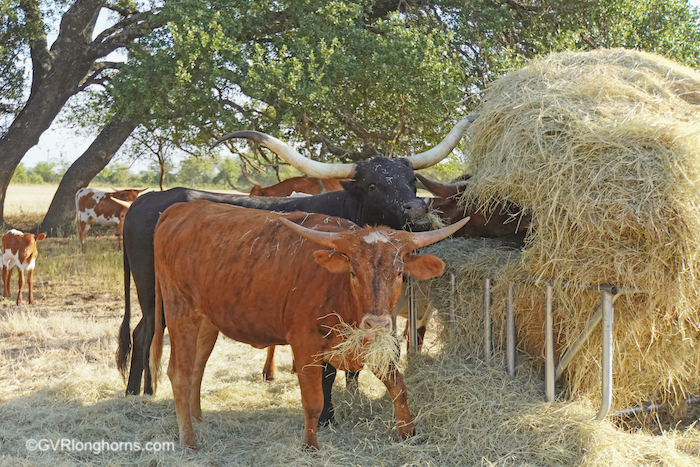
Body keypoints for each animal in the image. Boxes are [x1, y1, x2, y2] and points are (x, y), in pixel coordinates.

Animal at [116, 116, 476, 424]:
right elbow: (326, 370)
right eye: (373, 185)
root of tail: (143, 202)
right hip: (154, 293)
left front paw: (354, 399)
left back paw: (150, 390)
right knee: (143, 332)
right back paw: (135, 395)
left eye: (411, 180)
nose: (417, 209)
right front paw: (328, 418)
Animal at [148, 201, 468, 450]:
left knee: (196, 369)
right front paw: (310, 446)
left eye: (400, 272)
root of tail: (180, 208)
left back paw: (198, 418)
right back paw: (189, 441)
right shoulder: (304, 345)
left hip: (206, 322)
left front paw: (408, 433)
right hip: (179, 311)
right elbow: (314, 401)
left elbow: (398, 385)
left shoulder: (372, 345)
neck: (339, 292)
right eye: (353, 272)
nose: (376, 322)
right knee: (179, 373)